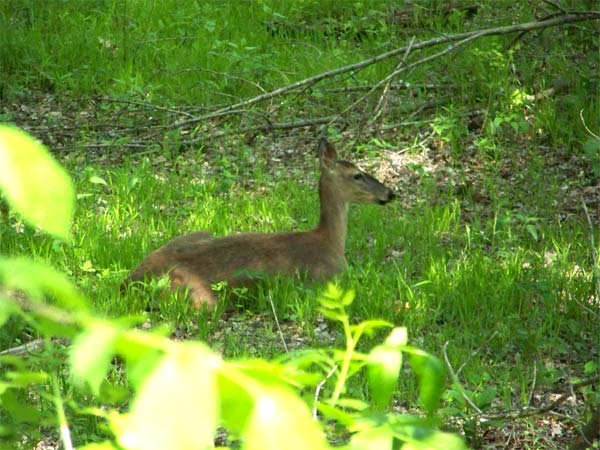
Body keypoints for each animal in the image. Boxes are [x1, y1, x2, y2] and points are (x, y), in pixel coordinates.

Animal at [123, 139, 394, 308]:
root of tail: (129, 282)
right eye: (357, 175)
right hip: (197, 295)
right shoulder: (329, 277)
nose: (390, 193)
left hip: (198, 232)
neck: (331, 241)